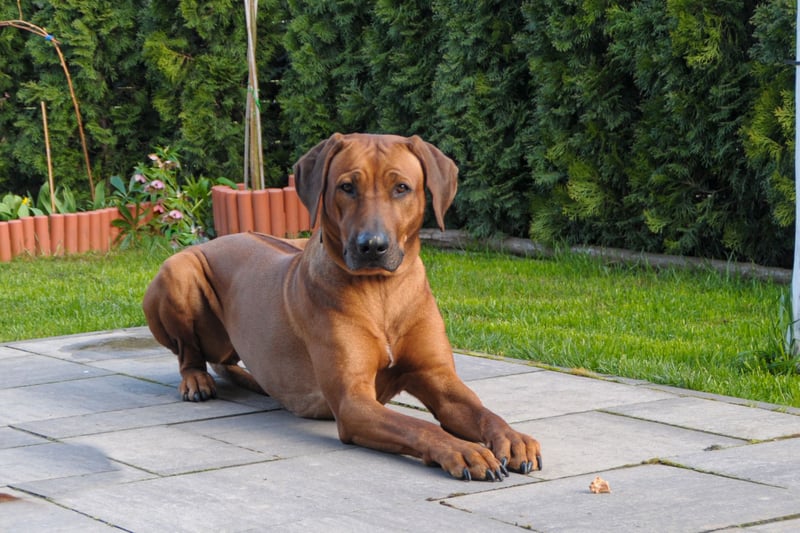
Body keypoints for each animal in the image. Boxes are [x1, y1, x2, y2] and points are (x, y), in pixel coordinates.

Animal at [143, 133, 542, 480]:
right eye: (347, 187)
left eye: (402, 188)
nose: (372, 246)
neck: (381, 292)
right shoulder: (353, 402)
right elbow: (417, 425)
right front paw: (464, 450)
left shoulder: (438, 378)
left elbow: (481, 410)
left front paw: (512, 437)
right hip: (177, 271)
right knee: (189, 354)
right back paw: (196, 380)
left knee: (227, 362)